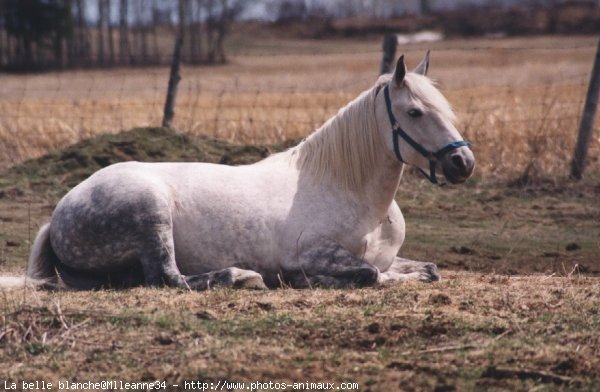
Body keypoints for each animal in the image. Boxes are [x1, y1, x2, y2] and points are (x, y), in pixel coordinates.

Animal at [2, 53, 476, 290]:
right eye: (414, 112)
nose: (463, 163)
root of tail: (59, 214)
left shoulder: (390, 255)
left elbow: (426, 269)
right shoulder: (316, 253)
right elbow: (370, 274)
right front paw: (303, 279)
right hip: (151, 213)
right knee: (169, 278)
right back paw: (244, 277)